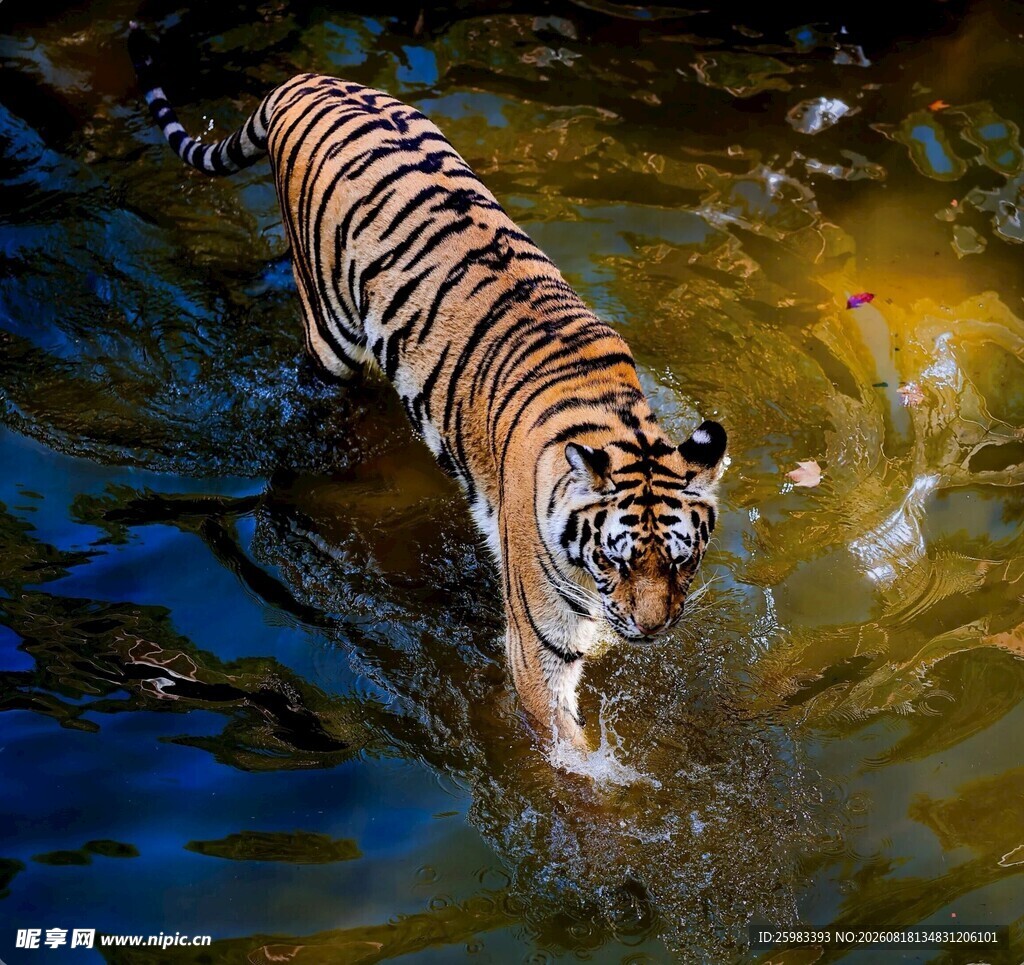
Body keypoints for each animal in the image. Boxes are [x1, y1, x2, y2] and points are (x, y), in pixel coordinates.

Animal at [128, 25, 728, 750]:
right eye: (615, 563)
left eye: (680, 563)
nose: (649, 629)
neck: (620, 425)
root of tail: (306, 79)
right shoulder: (539, 648)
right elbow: (569, 761)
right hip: (331, 335)